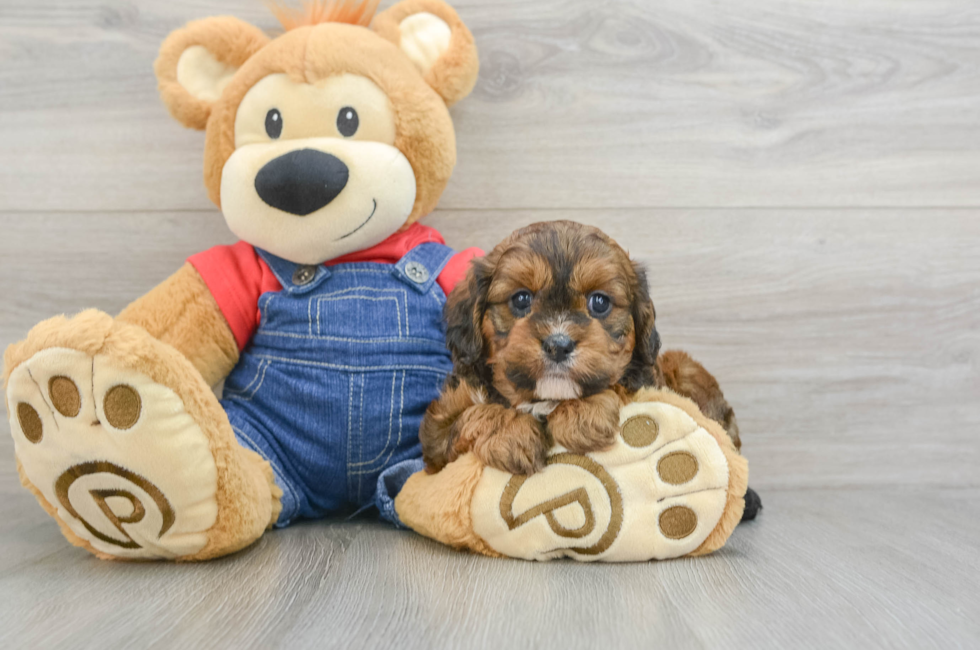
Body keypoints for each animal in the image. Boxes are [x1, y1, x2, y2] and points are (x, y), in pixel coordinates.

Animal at [422, 221, 744, 476]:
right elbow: (472, 414)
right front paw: (510, 432)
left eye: (599, 302)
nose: (558, 345)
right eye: (521, 299)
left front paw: (583, 413)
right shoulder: (436, 445)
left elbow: (616, 385)